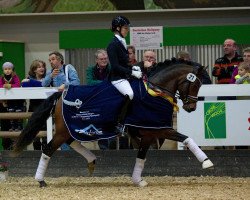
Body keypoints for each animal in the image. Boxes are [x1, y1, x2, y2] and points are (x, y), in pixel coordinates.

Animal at [11, 61, 214, 188]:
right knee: (48, 149)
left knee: (70, 142)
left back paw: (91, 160)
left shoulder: (149, 134)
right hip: (64, 131)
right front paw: (206, 162)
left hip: (69, 129)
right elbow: (187, 138)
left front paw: (138, 180)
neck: (155, 92)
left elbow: (141, 156)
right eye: (195, 85)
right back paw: (40, 181)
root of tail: (61, 94)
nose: (191, 107)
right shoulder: (161, 130)